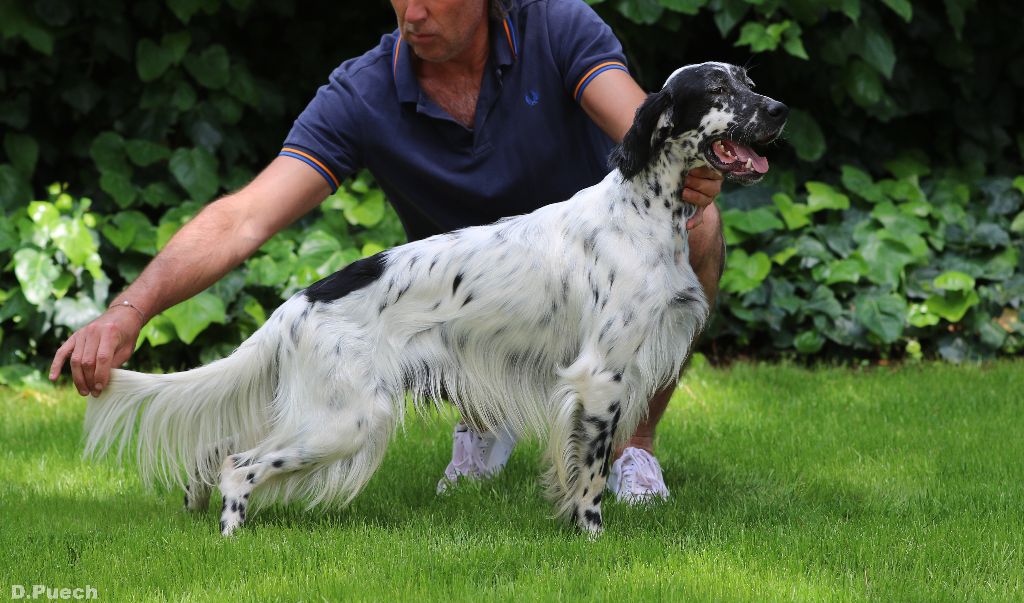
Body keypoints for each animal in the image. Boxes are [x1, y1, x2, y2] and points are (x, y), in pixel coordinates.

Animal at [86, 61, 790, 532]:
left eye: (748, 80)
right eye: (719, 91)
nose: (780, 109)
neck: (642, 211)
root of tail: (300, 302)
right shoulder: (600, 378)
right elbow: (588, 475)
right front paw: (592, 538)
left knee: (218, 451)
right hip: (347, 418)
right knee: (238, 463)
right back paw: (232, 535)